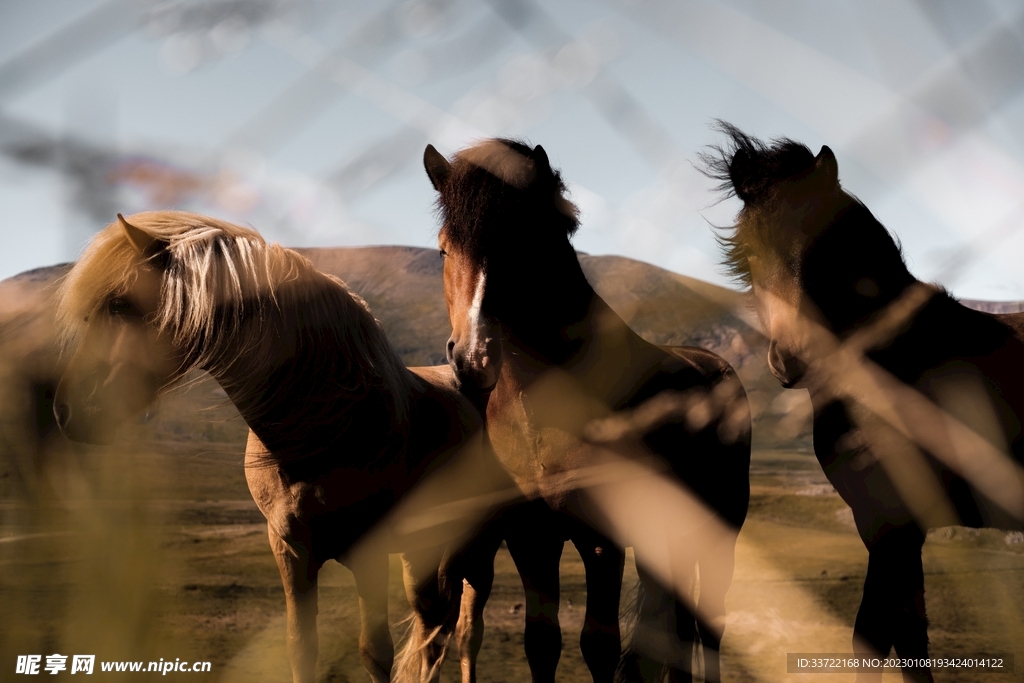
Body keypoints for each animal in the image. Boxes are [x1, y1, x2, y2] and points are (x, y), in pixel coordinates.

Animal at [51, 211, 513, 683]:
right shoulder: (290, 550)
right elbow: (301, 648)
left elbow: (375, 653)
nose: (65, 410)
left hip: (480, 549)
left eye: (119, 304)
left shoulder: (370, 553)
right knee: (431, 628)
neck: (327, 424)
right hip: (419, 553)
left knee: (464, 633)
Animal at [422, 139, 752, 683]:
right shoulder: (531, 540)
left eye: (526, 244)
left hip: (721, 530)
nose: (474, 357)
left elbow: (598, 645)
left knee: (712, 623)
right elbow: (542, 643)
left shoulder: (602, 542)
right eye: (445, 249)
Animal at [704, 123, 1024, 682]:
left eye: (827, 246)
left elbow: (876, 639)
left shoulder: (896, 525)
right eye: (748, 255)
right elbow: (908, 639)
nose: (791, 359)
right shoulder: (882, 525)